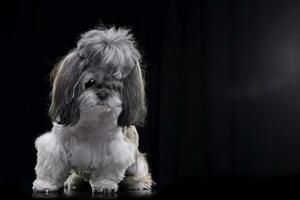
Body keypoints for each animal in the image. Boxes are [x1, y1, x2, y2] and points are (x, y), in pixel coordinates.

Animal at [32, 25, 152, 193]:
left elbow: (108, 169)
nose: (103, 93)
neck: (92, 117)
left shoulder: (115, 148)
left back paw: (139, 182)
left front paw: (105, 184)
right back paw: (75, 180)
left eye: (115, 86)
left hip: (136, 161)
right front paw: (46, 183)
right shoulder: (56, 142)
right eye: (90, 82)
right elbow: (52, 164)